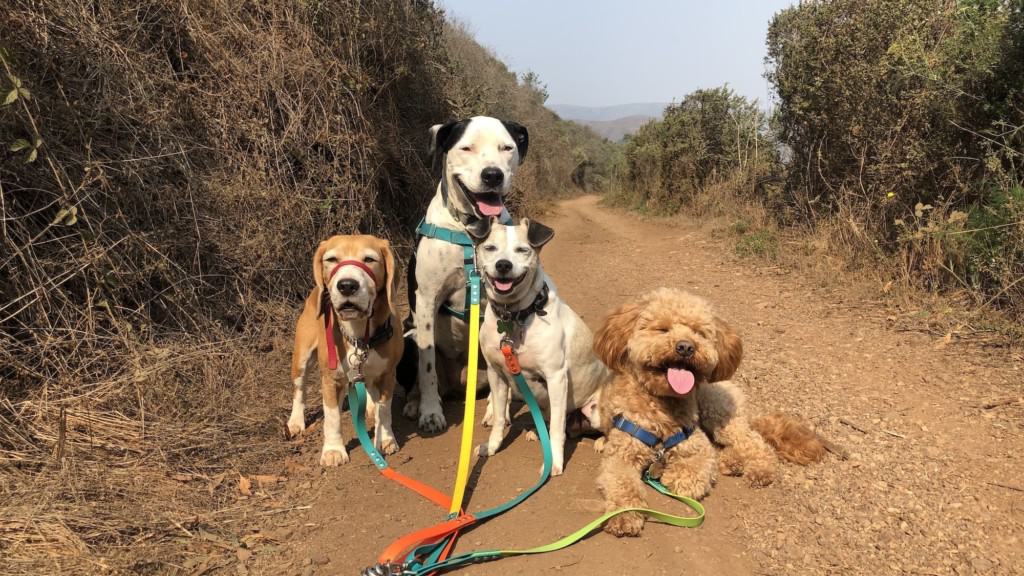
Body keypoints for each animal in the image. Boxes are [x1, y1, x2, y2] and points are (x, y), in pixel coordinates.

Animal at [399, 115, 528, 430]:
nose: (492, 175)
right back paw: (415, 404)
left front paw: (496, 411)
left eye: (507, 147)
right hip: (408, 336)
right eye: (466, 148)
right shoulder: (427, 300)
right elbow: (427, 366)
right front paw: (430, 412)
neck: (472, 231)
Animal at [593, 289, 823, 537]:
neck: (662, 404)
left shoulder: (695, 444)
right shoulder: (622, 454)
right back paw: (732, 461)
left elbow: (694, 472)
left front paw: (674, 476)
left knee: (752, 441)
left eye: (699, 333)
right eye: (662, 329)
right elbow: (622, 484)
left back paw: (758, 468)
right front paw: (624, 515)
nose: (685, 347)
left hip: (717, 411)